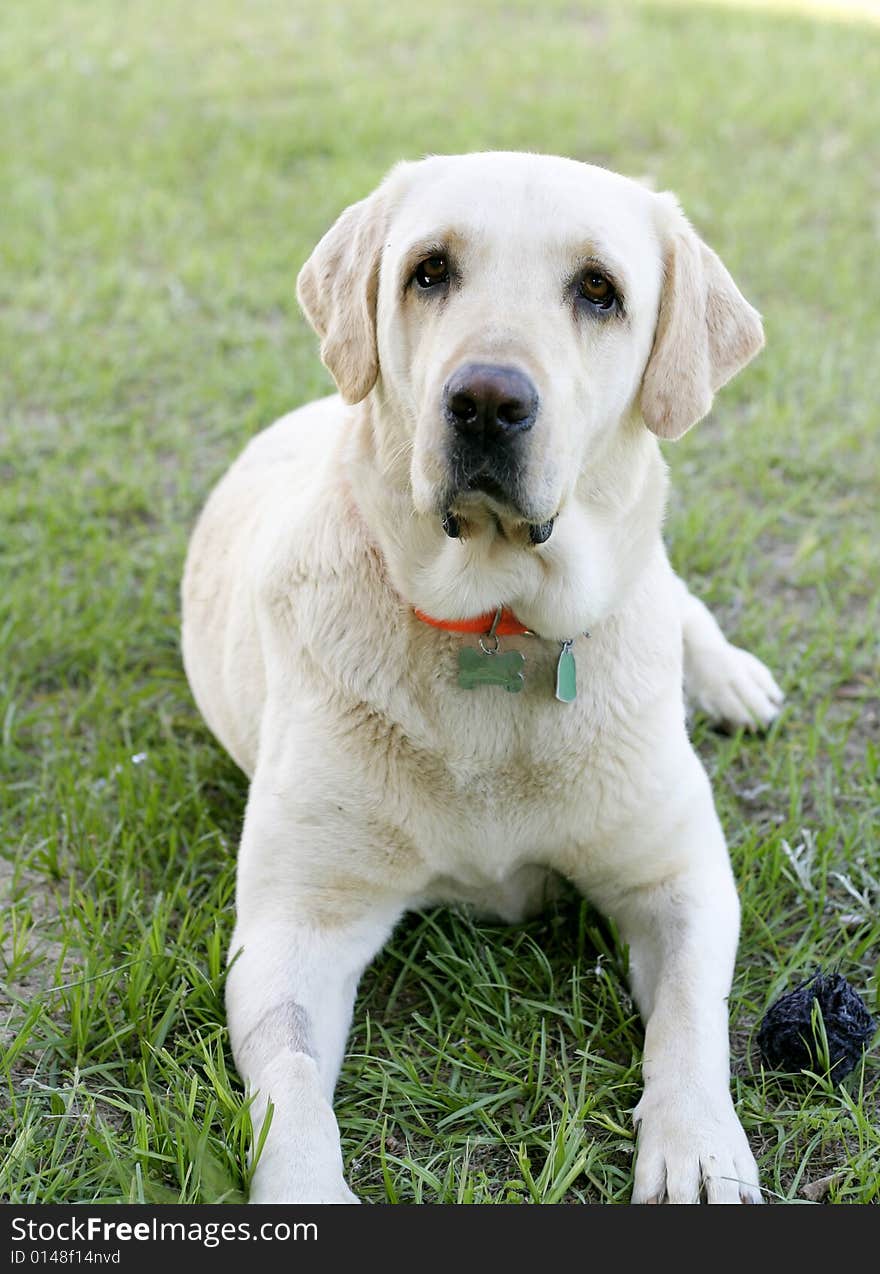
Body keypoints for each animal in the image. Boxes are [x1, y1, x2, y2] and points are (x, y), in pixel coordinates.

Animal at [180, 151, 784, 1202]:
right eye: (429, 271)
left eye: (599, 290)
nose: (488, 402)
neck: (497, 620)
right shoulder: (295, 924)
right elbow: (291, 1084)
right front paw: (305, 1192)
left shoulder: (681, 877)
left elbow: (691, 1021)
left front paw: (699, 1144)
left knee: (677, 599)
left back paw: (728, 677)